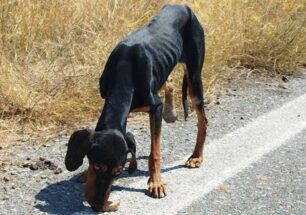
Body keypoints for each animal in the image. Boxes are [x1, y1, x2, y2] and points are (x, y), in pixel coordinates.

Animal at [64, 4, 208, 212]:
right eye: (96, 166)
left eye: (118, 172)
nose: (98, 205)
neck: (125, 70)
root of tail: (184, 6)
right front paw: (83, 173)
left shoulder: (155, 108)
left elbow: (155, 152)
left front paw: (156, 183)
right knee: (169, 82)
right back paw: (171, 112)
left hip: (195, 76)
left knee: (203, 121)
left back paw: (196, 156)